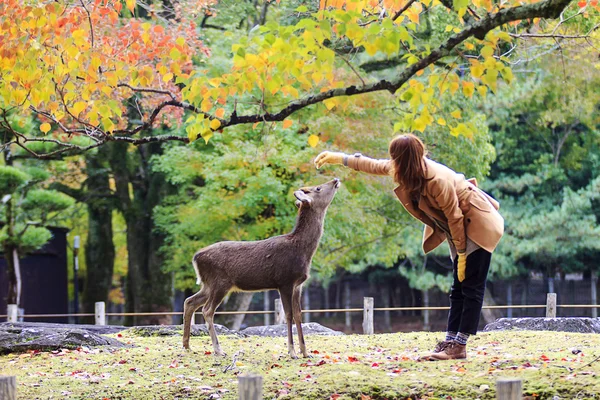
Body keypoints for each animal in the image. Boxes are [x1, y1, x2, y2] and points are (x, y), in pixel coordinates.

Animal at [183, 178, 340, 360]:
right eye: (318, 188)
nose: (335, 180)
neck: (302, 251)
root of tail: (195, 257)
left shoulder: (298, 285)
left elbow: (299, 315)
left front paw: (306, 352)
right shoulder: (284, 281)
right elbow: (288, 315)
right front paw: (292, 352)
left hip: (208, 284)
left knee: (190, 301)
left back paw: (186, 345)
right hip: (219, 282)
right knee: (207, 310)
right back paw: (218, 349)